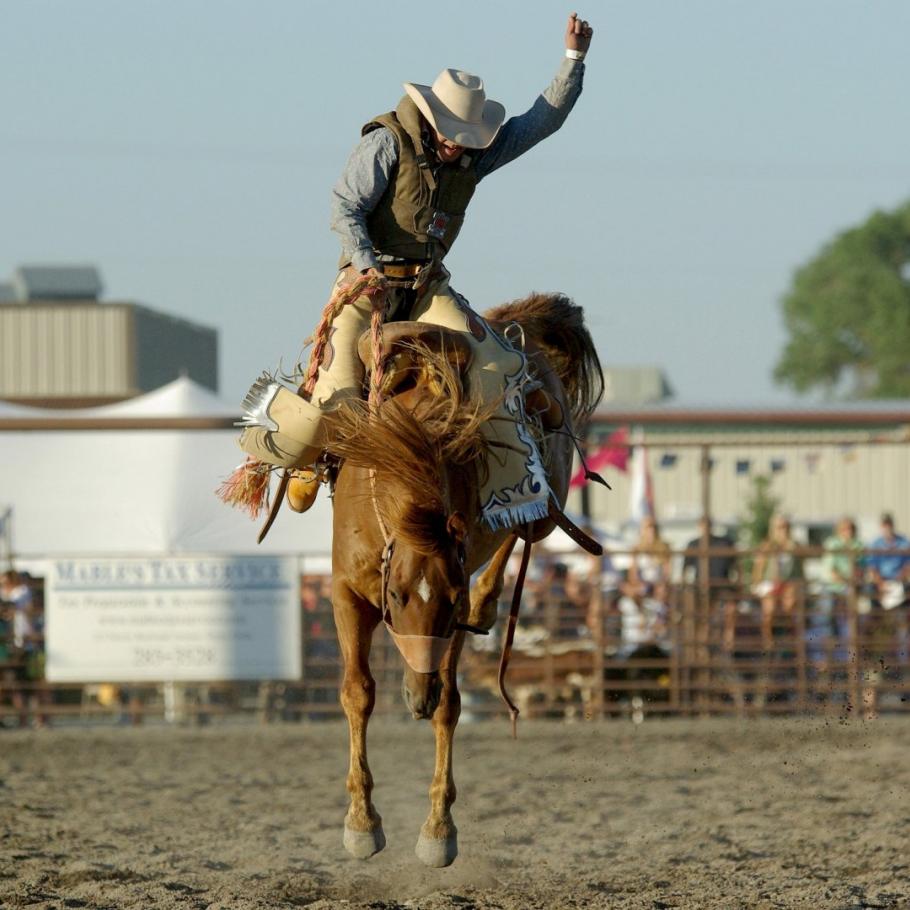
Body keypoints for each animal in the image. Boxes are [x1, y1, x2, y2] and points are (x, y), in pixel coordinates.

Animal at [324, 292, 604, 868]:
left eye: (448, 603)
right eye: (396, 596)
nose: (418, 697)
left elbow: (451, 707)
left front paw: (438, 830)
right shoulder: (345, 592)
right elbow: (358, 693)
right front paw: (362, 823)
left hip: (545, 505)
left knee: (524, 528)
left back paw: (488, 604)